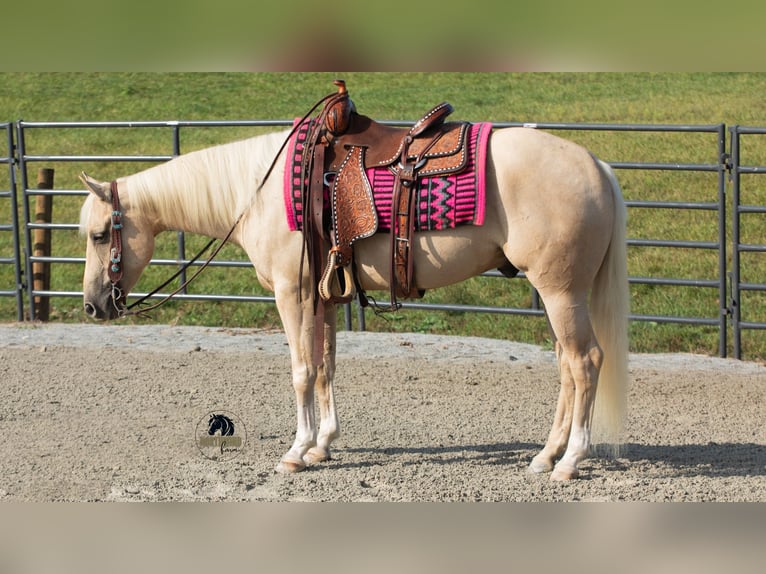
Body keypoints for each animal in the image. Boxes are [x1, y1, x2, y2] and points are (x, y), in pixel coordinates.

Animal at [79, 118, 629, 481]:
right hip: (558, 295)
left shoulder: (293, 293)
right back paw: (545, 455)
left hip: (560, 293)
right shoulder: (321, 298)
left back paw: (570, 461)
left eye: (101, 234)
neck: (258, 192)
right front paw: (323, 445)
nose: (92, 307)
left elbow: (302, 371)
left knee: (585, 362)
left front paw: (297, 450)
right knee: (566, 366)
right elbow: (325, 368)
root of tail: (597, 166)